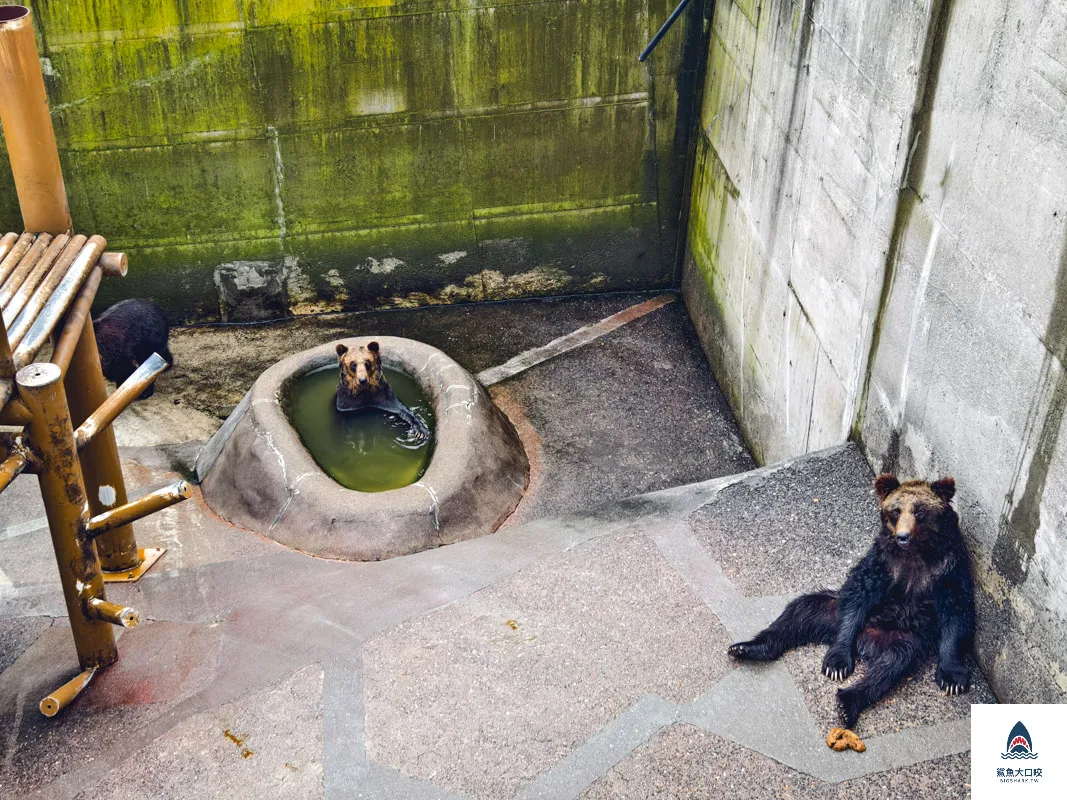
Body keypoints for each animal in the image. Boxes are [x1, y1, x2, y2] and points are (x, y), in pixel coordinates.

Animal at [727, 474, 975, 730]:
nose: (902, 537)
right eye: (896, 511)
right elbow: (860, 592)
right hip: (832, 611)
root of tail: (867, 641)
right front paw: (836, 663)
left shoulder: (948, 566)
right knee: (799, 612)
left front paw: (952, 678)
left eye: (919, 511)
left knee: (892, 664)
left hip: (907, 636)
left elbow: (956, 611)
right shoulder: (882, 561)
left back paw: (848, 703)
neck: (916, 552)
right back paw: (747, 647)